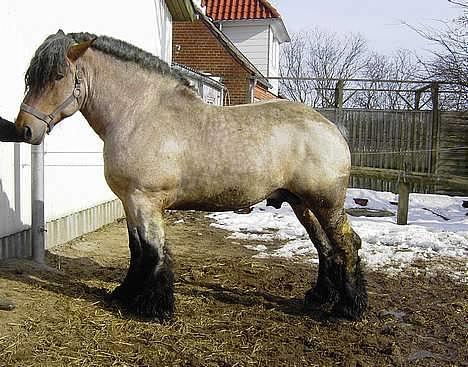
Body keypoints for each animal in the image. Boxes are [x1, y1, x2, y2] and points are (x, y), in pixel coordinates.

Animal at [14, 31, 368, 322]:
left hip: (326, 204)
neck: (139, 114)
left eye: (58, 75)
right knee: (325, 248)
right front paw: (125, 295)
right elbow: (136, 251)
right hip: (302, 204)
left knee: (347, 244)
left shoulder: (145, 201)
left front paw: (154, 308)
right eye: (31, 77)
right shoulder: (129, 202)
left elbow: (153, 252)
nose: (25, 129)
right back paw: (320, 297)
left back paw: (347, 308)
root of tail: (332, 128)